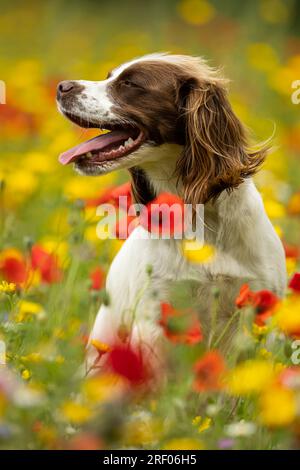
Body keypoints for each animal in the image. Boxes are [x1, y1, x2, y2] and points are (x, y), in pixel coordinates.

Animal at [56, 54, 286, 370]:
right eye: (109, 76)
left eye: (130, 84)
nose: (61, 86)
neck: (201, 219)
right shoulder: (155, 317)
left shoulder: (258, 313)